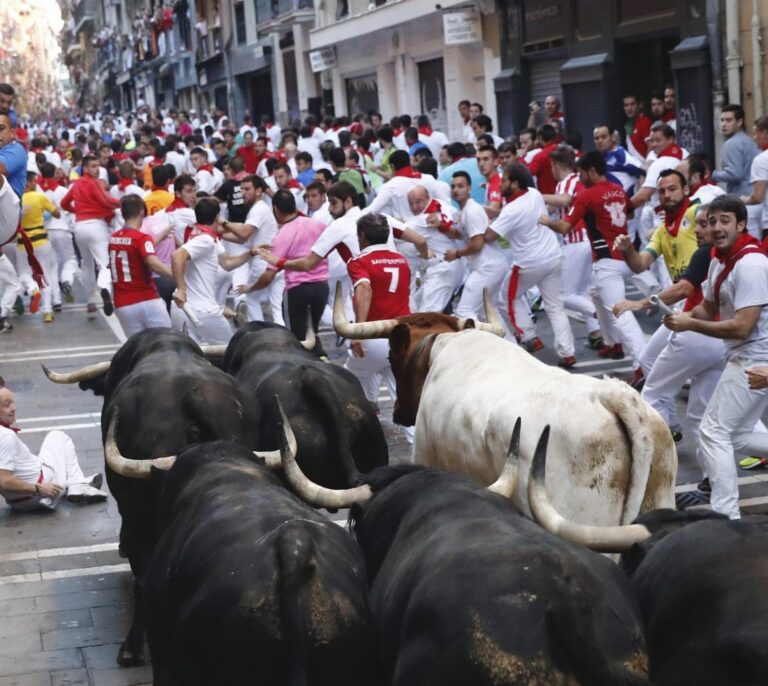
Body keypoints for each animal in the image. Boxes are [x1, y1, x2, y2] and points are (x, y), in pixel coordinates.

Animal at [336, 288, 680, 528]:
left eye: (391, 357)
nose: (397, 413)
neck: (438, 346)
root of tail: (612, 395)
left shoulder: (425, 455)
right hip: (659, 497)